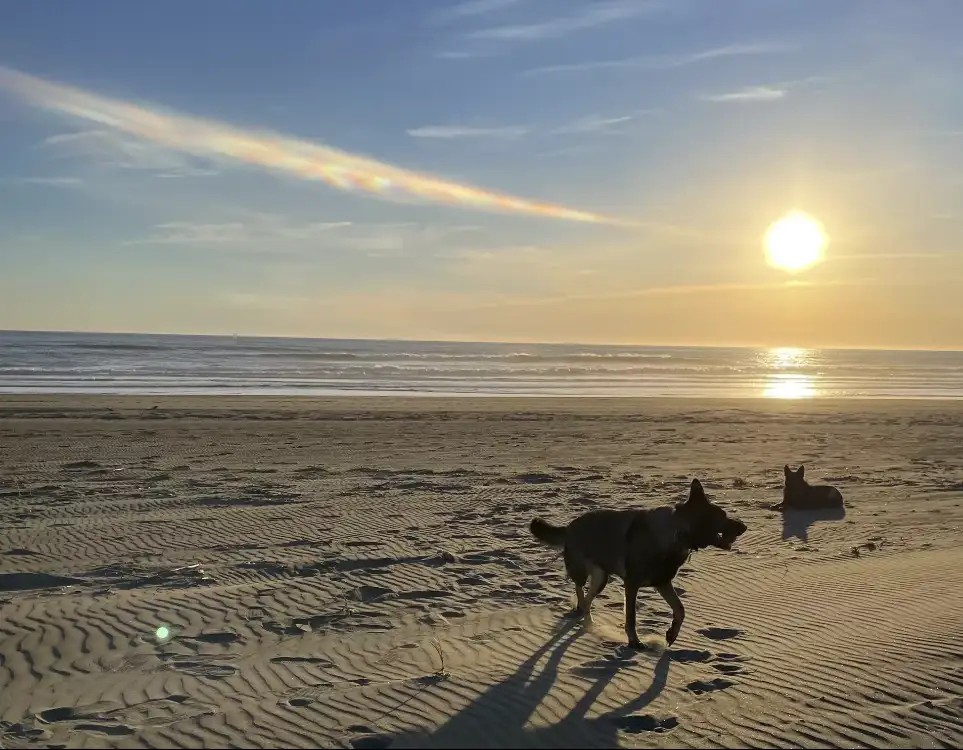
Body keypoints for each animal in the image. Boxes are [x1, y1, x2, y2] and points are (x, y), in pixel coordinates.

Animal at [532, 484, 748, 648]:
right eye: (722, 516)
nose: (744, 527)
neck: (676, 533)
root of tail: (569, 526)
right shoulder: (632, 585)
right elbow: (631, 617)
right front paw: (634, 642)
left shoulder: (663, 583)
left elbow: (680, 610)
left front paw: (672, 634)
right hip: (583, 571)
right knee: (580, 589)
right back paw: (582, 614)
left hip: (601, 578)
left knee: (587, 598)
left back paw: (585, 616)